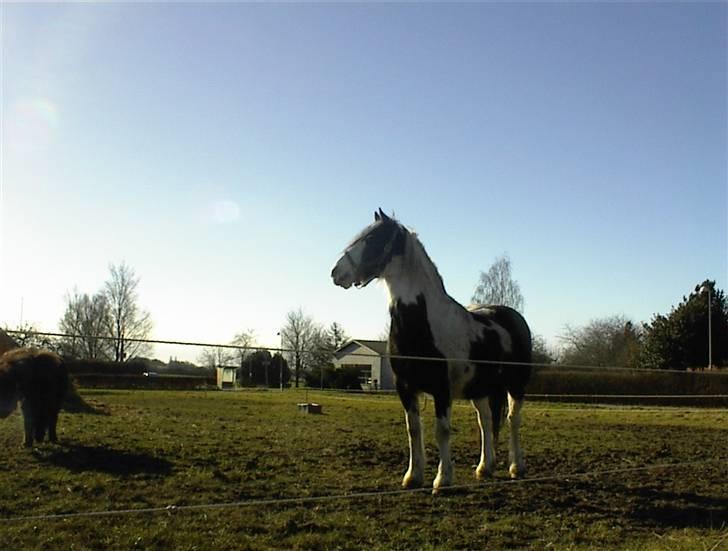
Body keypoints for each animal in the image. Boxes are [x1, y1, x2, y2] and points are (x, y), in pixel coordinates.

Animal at [332, 209, 532, 494]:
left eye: (372, 239)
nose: (336, 273)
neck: (423, 322)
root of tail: (511, 316)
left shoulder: (441, 389)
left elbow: (442, 431)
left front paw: (443, 478)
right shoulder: (405, 387)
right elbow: (413, 430)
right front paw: (412, 477)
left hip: (516, 385)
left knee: (514, 419)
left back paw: (517, 467)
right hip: (480, 389)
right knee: (485, 421)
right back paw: (484, 468)